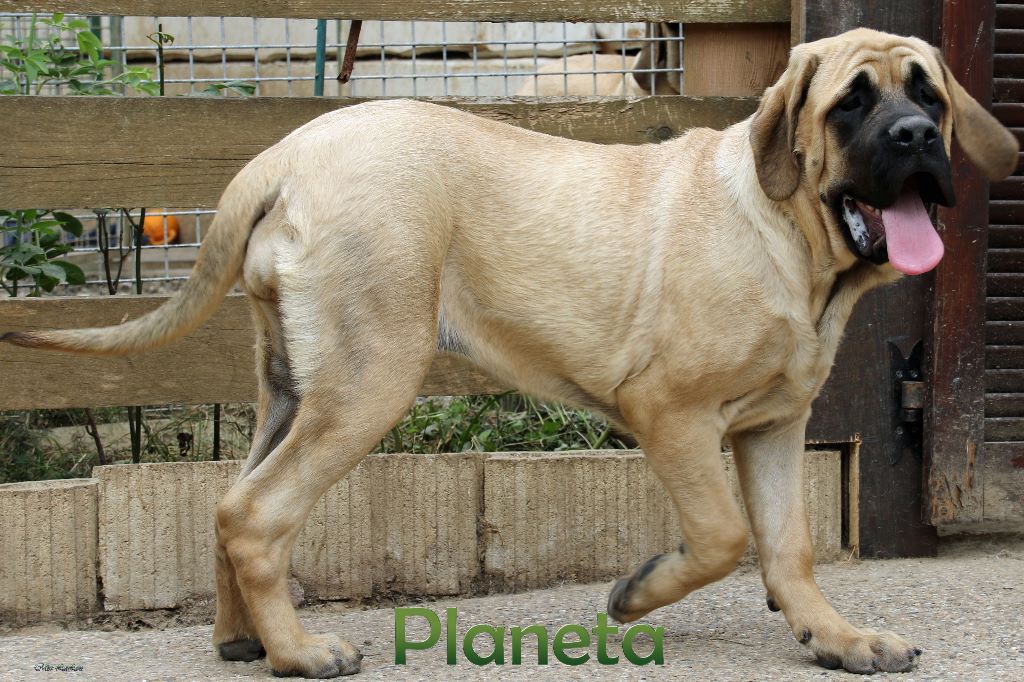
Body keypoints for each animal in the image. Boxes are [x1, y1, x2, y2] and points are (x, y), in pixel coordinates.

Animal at [3, 28, 1017, 677]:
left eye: (927, 95)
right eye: (853, 103)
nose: (916, 137)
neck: (793, 241)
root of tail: (282, 156)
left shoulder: (773, 427)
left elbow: (790, 549)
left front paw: (838, 638)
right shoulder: (673, 413)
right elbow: (725, 536)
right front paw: (635, 596)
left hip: (293, 384)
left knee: (229, 500)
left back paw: (242, 640)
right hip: (369, 379)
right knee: (257, 513)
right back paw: (299, 654)